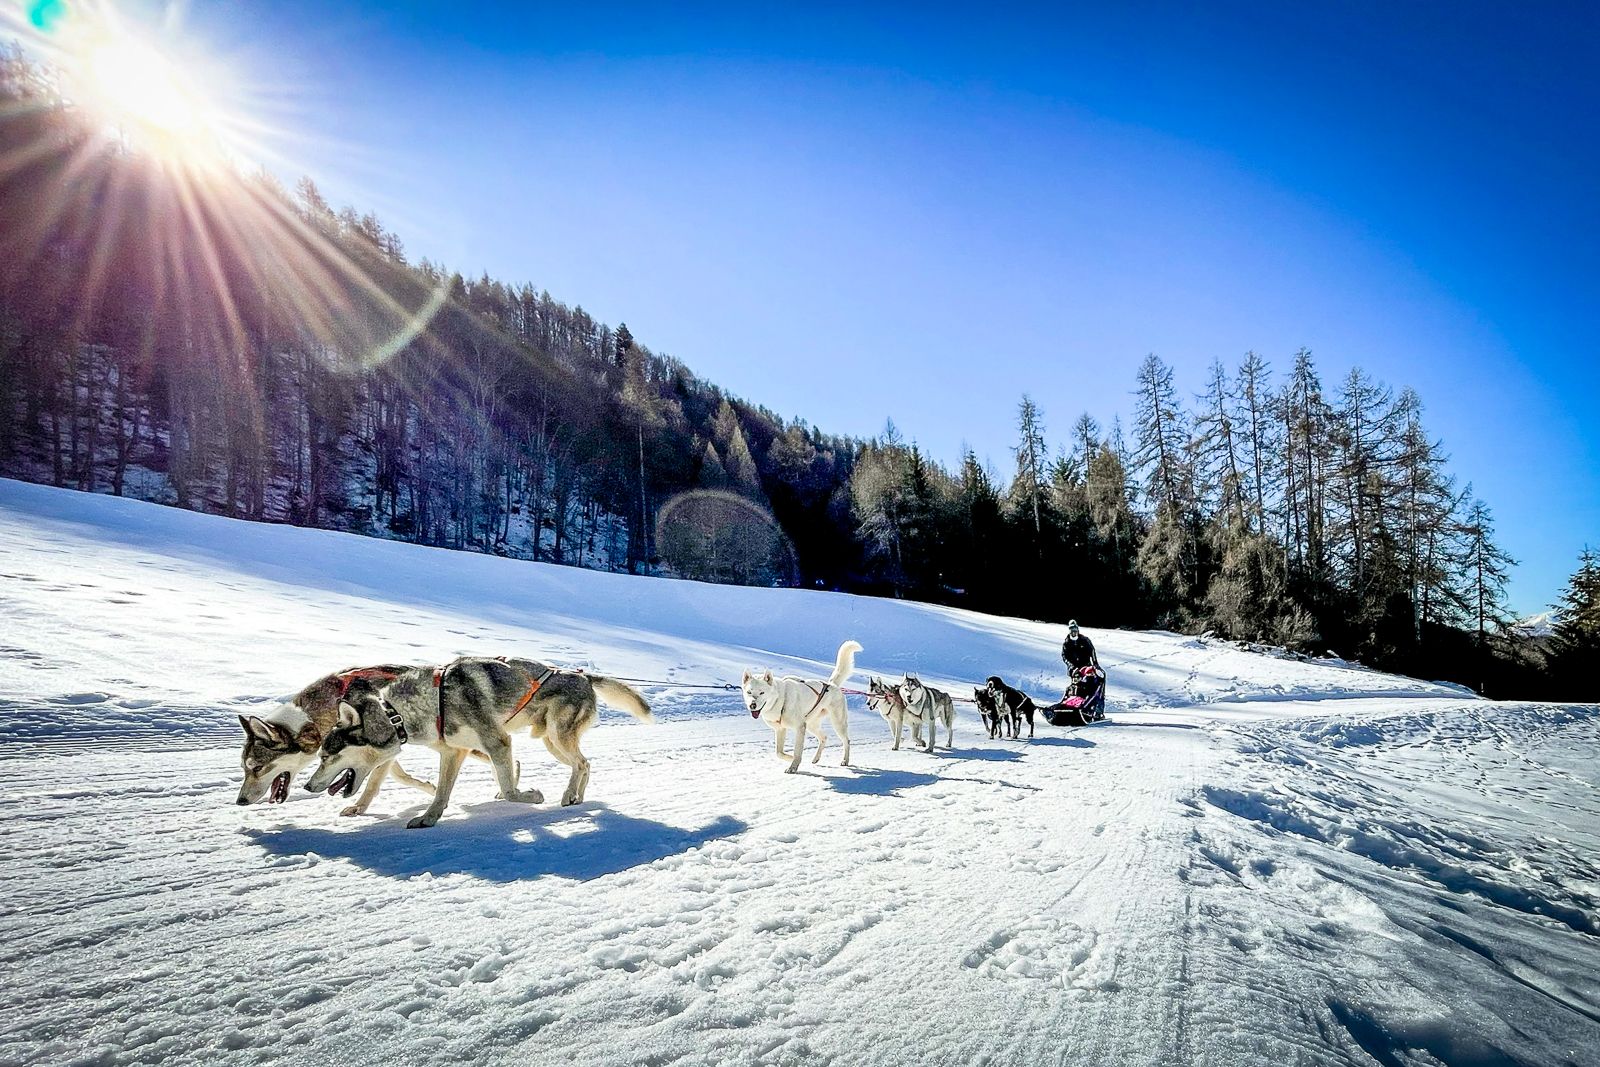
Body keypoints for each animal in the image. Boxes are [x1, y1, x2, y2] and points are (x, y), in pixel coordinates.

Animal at [233, 668, 441, 809]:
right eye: (244, 768)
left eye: (257, 768)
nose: (240, 801)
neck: (312, 720)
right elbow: (396, 774)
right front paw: (430, 788)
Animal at [302, 655, 652, 831]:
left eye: (327, 756)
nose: (306, 786)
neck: (401, 713)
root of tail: (583, 675)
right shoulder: (453, 753)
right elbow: (441, 793)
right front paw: (428, 819)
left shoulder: (499, 742)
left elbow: (510, 791)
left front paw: (533, 796)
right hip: (550, 741)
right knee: (585, 764)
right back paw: (576, 796)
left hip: (556, 737)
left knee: (582, 763)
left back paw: (569, 796)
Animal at [739, 639, 857, 771]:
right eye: (749, 692)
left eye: (761, 692)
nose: (752, 705)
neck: (781, 700)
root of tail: (832, 685)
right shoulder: (781, 729)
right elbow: (778, 753)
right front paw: (790, 758)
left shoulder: (800, 727)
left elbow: (797, 750)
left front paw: (793, 766)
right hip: (811, 725)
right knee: (823, 737)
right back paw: (816, 758)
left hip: (837, 723)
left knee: (847, 741)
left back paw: (845, 760)